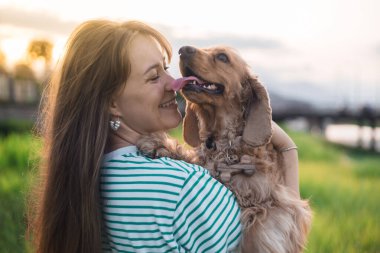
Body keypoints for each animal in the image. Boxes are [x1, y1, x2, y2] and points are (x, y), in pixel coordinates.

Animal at [137, 45, 312, 253]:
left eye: (222, 57)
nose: (182, 49)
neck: (224, 145)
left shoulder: (278, 202)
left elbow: (258, 228)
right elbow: (193, 158)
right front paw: (157, 144)